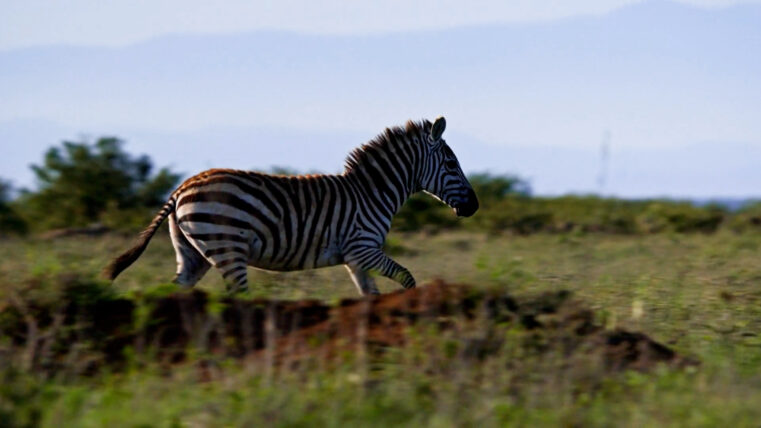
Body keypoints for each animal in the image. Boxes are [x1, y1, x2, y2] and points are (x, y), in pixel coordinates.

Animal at [104, 117, 478, 295]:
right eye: (450, 164)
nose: (474, 207)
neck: (373, 192)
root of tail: (182, 186)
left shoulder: (355, 258)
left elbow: (371, 295)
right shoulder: (364, 248)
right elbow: (408, 278)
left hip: (193, 253)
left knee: (176, 291)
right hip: (226, 247)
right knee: (238, 297)